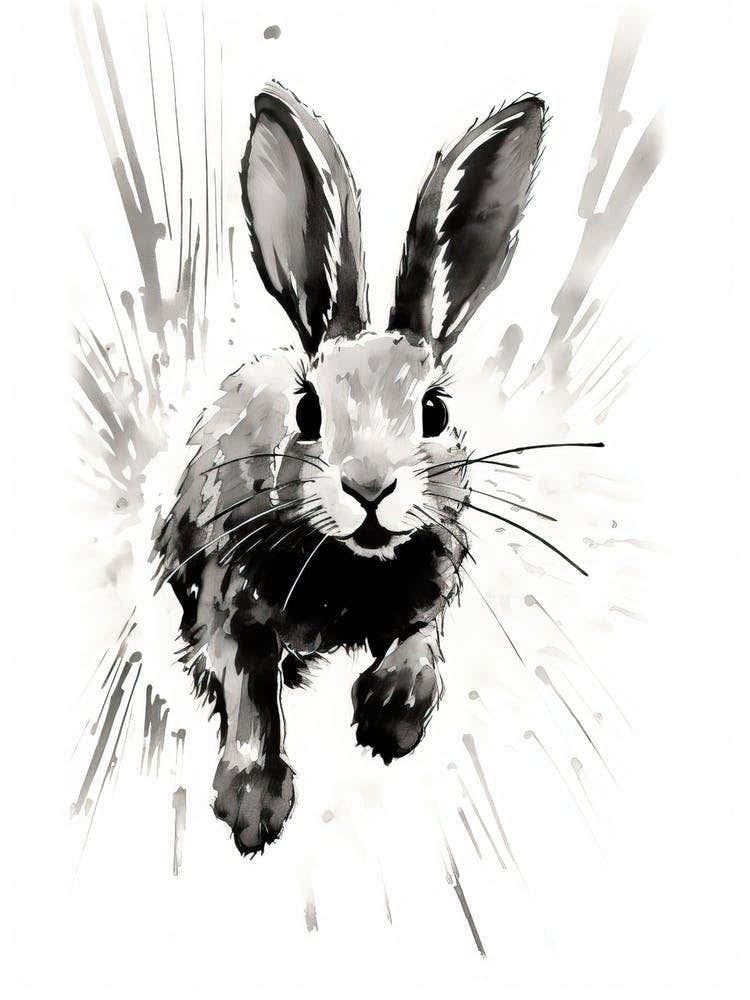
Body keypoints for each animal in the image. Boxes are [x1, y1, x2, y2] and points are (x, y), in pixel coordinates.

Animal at [152, 81, 545, 856]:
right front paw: (252, 805)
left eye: (434, 412)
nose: (369, 487)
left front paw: (392, 716)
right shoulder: (230, 595)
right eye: (308, 411)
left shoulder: (432, 584)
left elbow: (421, 641)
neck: (351, 566)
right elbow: (251, 692)